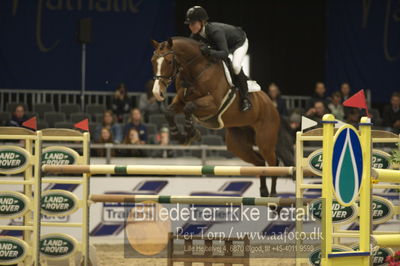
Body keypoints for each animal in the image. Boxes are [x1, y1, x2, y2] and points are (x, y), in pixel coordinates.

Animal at [150, 36, 294, 196]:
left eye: (169, 61)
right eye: (152, 61)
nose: (157, 93)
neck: (196, 70)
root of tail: (273, 108)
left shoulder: (213, 104)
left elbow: (189, 108)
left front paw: (191, 133)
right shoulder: (180, 101)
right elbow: (169, 112)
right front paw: (180, 137)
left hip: (265, 141)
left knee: (274, 163)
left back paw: (273, 196)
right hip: (237, 144)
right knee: (260, 162)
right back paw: (263, 192)